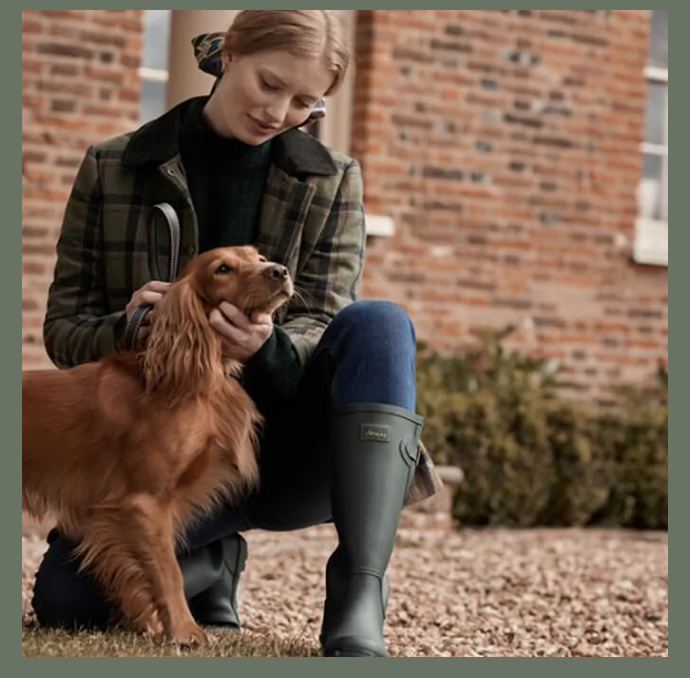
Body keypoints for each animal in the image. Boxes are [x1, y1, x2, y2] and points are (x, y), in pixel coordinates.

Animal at [22, 244, 292, 644]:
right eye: (222, 269)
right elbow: (168, 571)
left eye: (258, 258)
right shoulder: (144, 503)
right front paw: (184, 630)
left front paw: (148, 625)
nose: (279, 271)